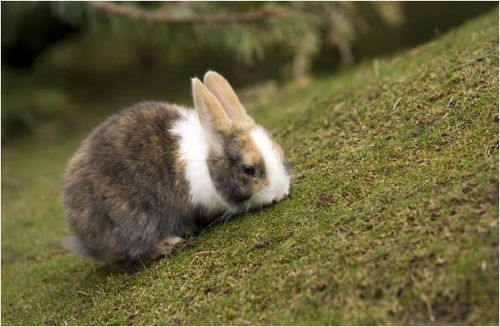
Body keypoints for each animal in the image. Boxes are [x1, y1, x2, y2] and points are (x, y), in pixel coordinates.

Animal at [61, 71, 292, 270]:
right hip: (132, 221)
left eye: (280, 152)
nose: (279, 194)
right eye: (249, 169)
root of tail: (80, 233)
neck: (207, 163)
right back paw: (168, 244)